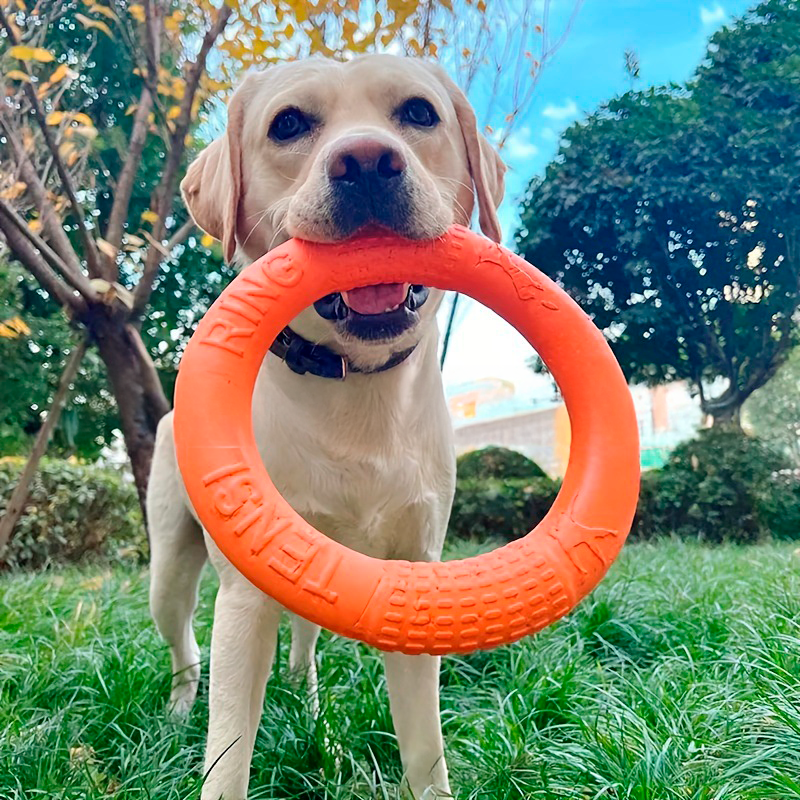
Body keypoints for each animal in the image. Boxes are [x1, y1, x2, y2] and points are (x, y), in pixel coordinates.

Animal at [147, 53, 504, 796]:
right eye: (288, 125)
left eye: (419, 112)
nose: (366, 162)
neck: (353, 385)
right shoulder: (245, 600)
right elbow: (229, 749)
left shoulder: (414, 576)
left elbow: (424, 748)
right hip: (168, 568)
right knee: (184, 647)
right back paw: (177, 711)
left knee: (304, 650)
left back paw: (313, 717)